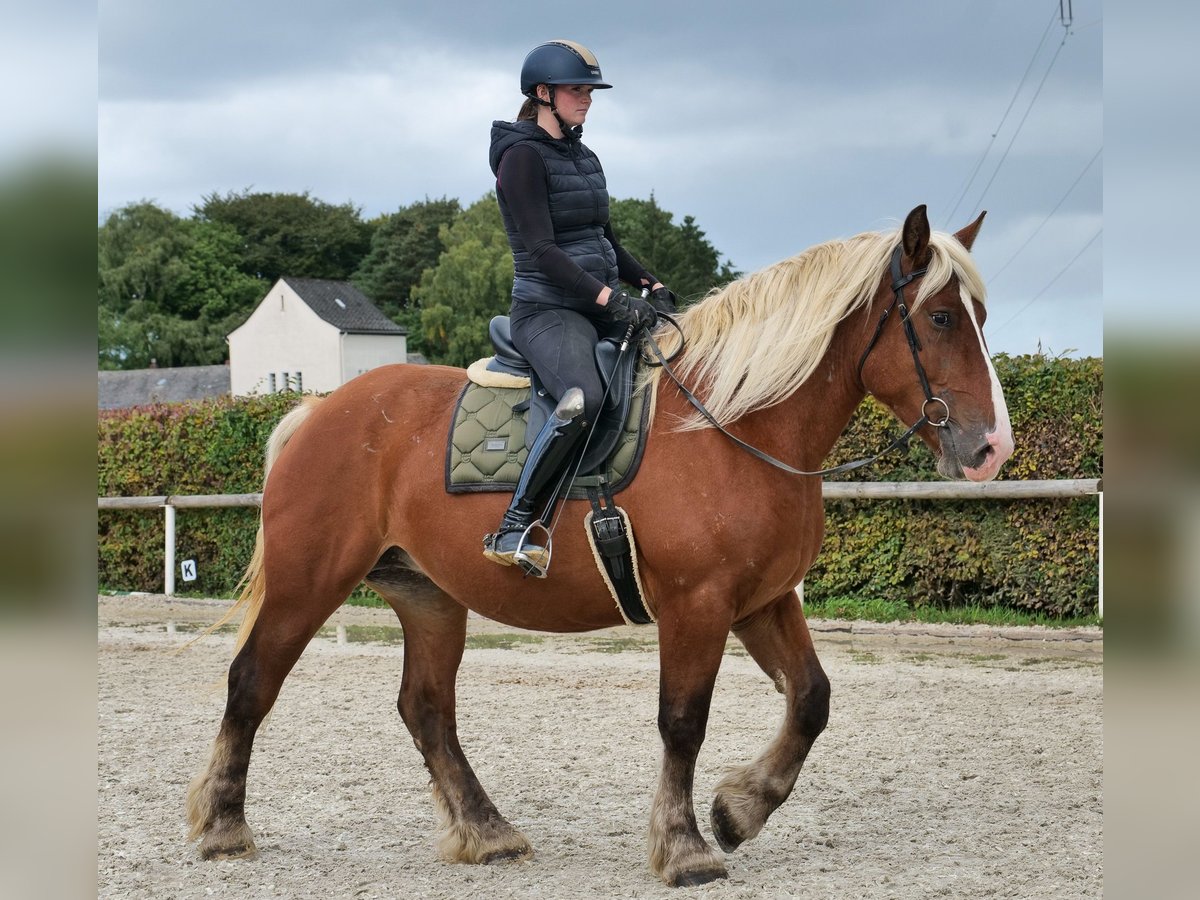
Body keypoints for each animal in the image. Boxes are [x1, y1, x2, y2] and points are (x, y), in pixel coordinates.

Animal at [187, 205, 1013, 887]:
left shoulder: (763, 600)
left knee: (425, 709)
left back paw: (486, 832)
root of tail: (322, 410)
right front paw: (684, 848)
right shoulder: (698, 606)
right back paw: (224, 826)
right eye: (941, 318)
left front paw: (738, 810)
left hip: (429, 599)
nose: (991, 448)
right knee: (252, 682)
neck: (735, 429)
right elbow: (683, 720)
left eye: (978, 314)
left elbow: (811, 699)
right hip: (309, 583)